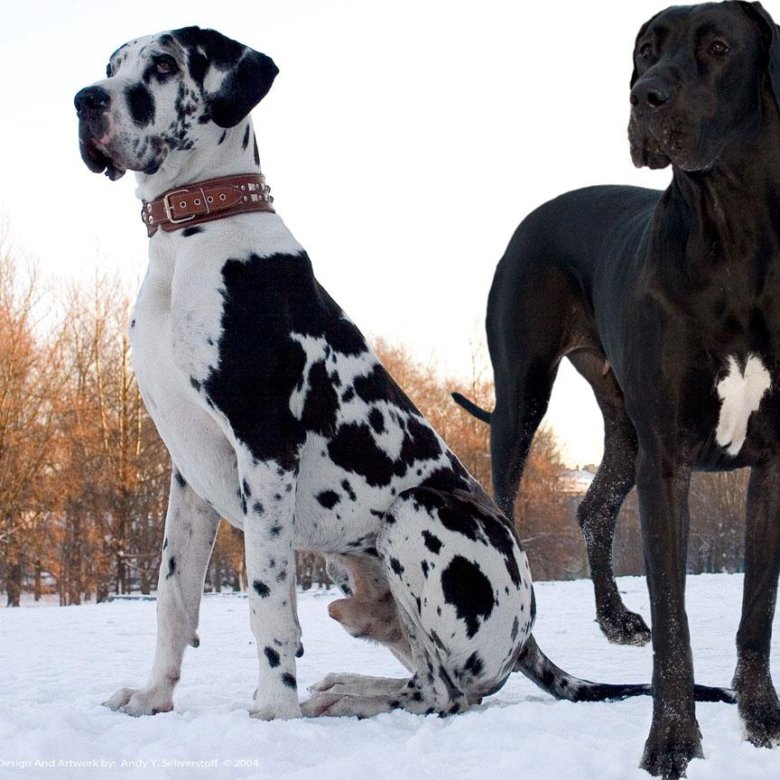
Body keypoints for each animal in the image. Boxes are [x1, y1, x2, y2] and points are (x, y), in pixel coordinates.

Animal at [73, 29, 724, 724]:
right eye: (112, 66)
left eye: (165, 65)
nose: (86, 100)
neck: (189, 242)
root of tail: (528, 638)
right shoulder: (189, 472)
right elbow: (174, 598)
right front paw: (153, 697)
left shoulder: (265, 448)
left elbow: (268, 602)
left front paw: (274, 715)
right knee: (428, 680)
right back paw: (348, 690)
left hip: (417, 512)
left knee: (447, 693)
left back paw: (338, 700)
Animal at [454, 3, 780, 776]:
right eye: (645, 49)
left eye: (717, 46)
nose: (645, 98)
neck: (733, 236)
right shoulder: (669, 461)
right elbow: (676, 617)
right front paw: (673, 740)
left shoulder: (773, 461)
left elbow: (758, 607)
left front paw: (760, 718)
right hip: (522, 398)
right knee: (512, 516)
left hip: (624, 424)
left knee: (594, 506)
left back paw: (614, 619)